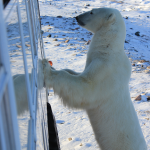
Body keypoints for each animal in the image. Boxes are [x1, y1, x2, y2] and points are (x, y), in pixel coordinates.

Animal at [40, 7, 147, 149]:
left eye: (91, 12)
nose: (77, 17)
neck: (109, 48)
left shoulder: (106, 69)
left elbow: (87, 87)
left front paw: (47, 70)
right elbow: (77, 74)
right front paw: (54, 68)